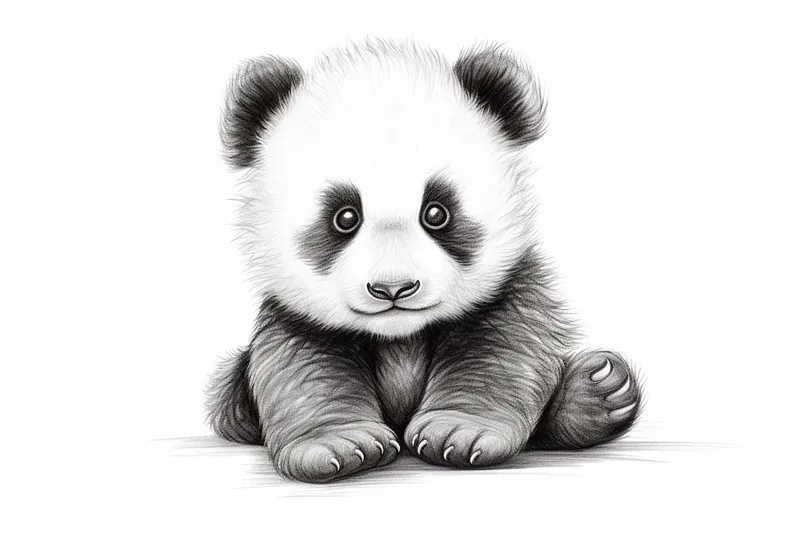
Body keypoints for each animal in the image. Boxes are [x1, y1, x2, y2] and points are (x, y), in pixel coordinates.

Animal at [206, 39, 642, 483]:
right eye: (345, 217)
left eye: (436, 212)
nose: (393, 288)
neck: (400, 336)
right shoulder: (295, 312)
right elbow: (303, 370)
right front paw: (338, 444)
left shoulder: (508, 286)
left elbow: (500, 352)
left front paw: (460, 432)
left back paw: (597, 392)